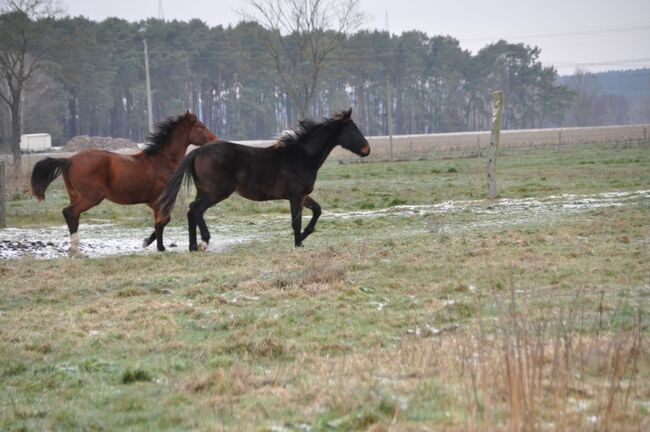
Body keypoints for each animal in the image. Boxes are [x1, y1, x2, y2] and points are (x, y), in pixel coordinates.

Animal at [31, 112, 218, 256]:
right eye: (200, 126)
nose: (215, 140)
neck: (161, 161)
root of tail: (69, 160)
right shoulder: (160, 200)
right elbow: (162, 221)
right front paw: (159, 247)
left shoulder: (152, 202)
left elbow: (160, 222)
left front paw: (147, 242)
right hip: (90, 197)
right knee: (69, 213)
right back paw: (76, 251)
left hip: (75, 195)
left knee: (73, 216)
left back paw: (74, 250)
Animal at [158, 106, 370, 251]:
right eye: (353, 129)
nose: (367, 149)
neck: (301, 156)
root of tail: (198, 151)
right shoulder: (295, 195)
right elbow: (296, 220)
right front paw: (298, 243)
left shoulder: (302, 195)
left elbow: (317, 210)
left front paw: (303, 237)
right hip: (217, 192)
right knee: (196, 209)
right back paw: (203, 241)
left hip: (204, 190)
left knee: (191, 211)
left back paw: (193, 246)